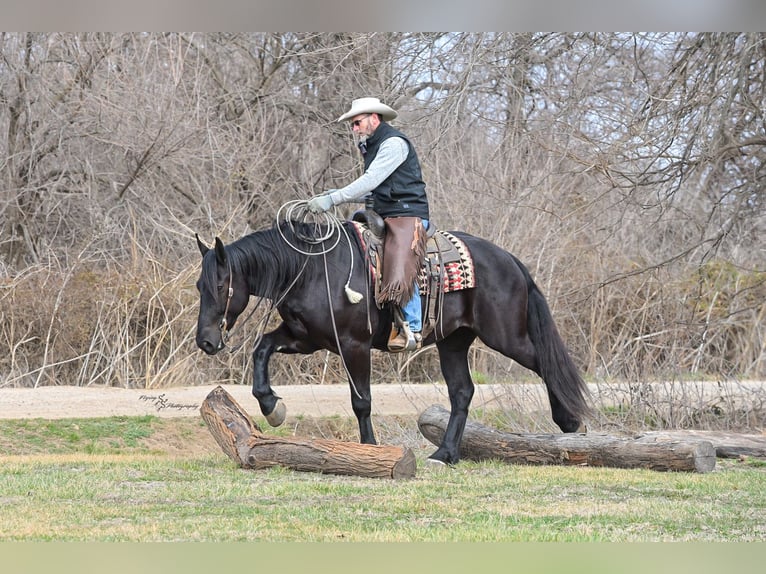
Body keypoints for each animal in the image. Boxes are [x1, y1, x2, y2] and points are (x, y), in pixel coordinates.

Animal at [195, 218, 592, 465]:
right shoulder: (306, 338)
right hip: (453, 342)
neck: (312, 271)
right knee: (462, 393)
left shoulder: (353, 345)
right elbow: (261, 348)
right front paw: (271, 406)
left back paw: (570, 422)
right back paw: (444, 454)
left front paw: (370, 448)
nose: (206, 341)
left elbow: (361, 402)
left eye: (220, 284)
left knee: (546, 365)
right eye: (200, 285)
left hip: (506, 335)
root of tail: (509, 259)